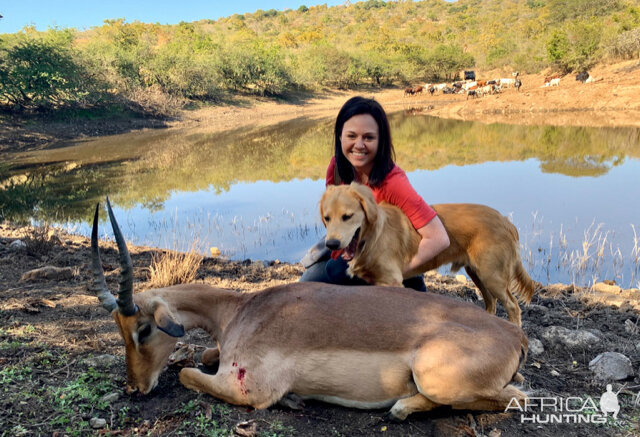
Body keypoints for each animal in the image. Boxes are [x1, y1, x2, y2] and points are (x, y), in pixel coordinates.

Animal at [91, 199, 528, 420]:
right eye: (118, 329)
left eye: (143, 329)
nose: (134, 387)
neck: (241, 310)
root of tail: (514, 336)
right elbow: (203, 353)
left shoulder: (244, 387)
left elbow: (188, 373)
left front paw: (291, 400)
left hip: (435, 377)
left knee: (518, 397)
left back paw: (401, 407)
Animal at [320, 182, 536, 326]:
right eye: (327, 218)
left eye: (347, 216)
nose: (331, 244)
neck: (372, 236)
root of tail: (506, 222)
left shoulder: (393, 281)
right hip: (478, 273)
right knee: (491, 303)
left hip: (492, 276)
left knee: (513, 306)